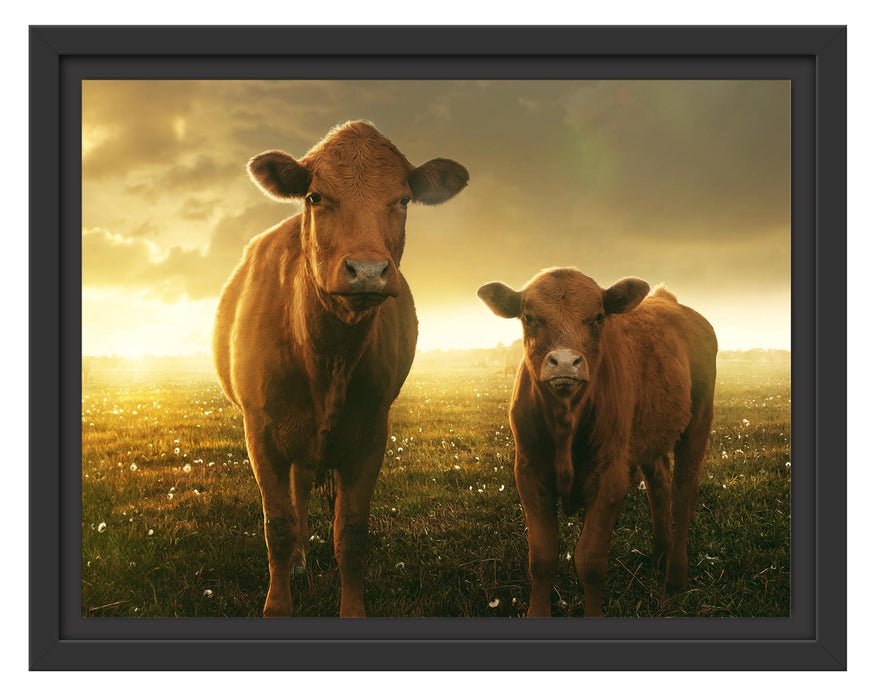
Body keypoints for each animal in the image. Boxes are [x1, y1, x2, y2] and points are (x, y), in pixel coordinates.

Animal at [212, 122, 468, 617]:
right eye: (315, 196)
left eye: (403, 199)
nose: (367, 271)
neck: (326, 356)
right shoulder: (260, 431)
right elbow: (278, 526)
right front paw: (278, 604)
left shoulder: (370, 433)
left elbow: (350, 533)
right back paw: (297, 563)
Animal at [478, 267, 716, 616]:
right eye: (528, 317)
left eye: (599, 317)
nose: (565, 362)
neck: (566, 422)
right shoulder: (530, 473)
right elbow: (541, 558)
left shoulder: (610, 478)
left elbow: (590, 562)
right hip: (649, 435)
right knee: (659, 485)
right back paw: (661, 553)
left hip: (698, 421)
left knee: (683, 495)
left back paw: (676, 574)